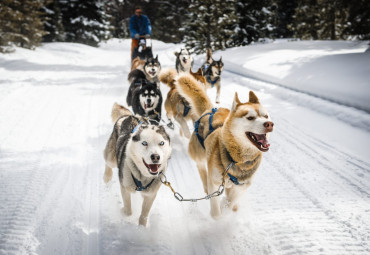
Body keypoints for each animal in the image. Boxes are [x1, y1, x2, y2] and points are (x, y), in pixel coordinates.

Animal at [175, 74, 274, 219]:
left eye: (266, 116)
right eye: (250, 117)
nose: (269, 124)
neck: (235, 160)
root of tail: (211, 109)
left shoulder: (241, 187)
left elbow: (231, 201)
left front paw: (228, 206)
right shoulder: (215, 183)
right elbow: (216, 213)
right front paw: (220, 215)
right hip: (199, 155)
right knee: (201, 169)